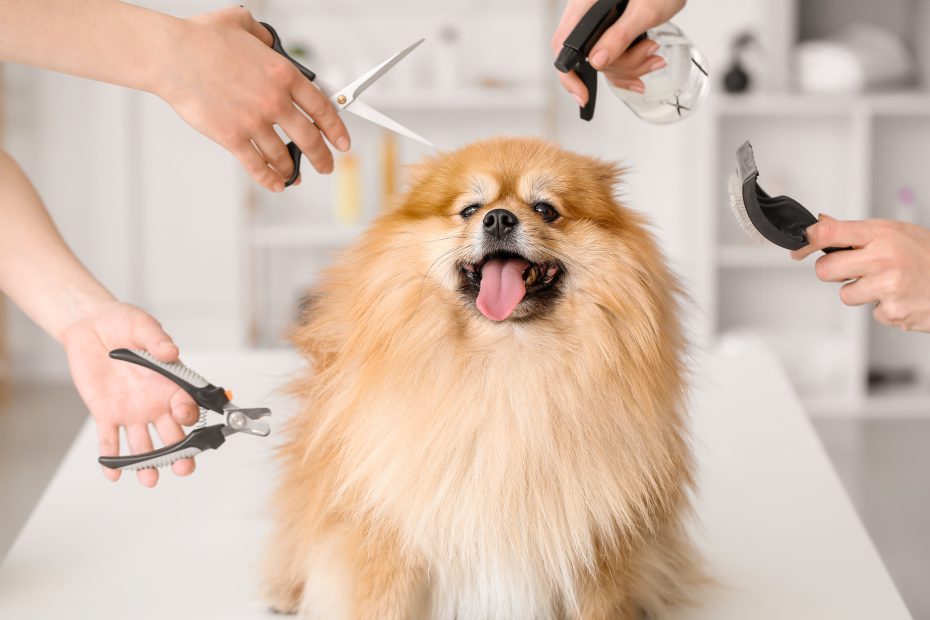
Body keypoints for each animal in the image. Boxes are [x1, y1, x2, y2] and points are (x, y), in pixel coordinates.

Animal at [264, 137, 700, 620]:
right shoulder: (388, 532)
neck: (506, 360)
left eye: (546, 209)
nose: (499, 218)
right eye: (471, 209)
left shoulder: (600, 541)